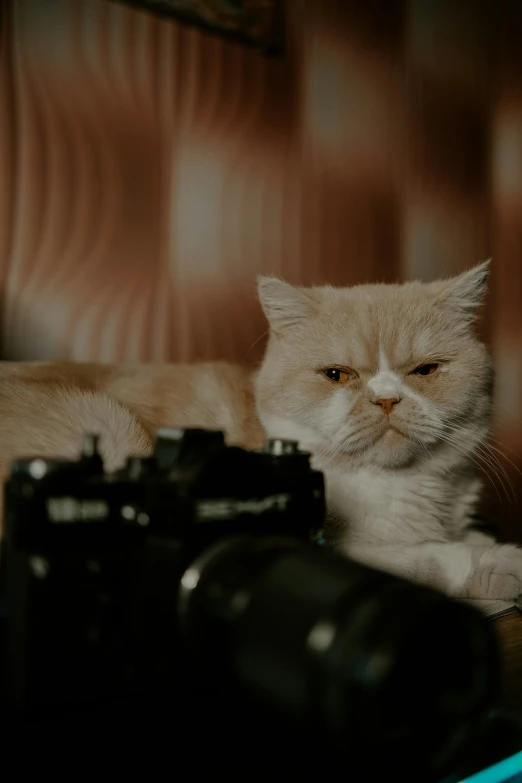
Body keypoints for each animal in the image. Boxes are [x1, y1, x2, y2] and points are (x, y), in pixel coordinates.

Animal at [0, 260, 516, 604]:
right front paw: (502, 564)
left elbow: (467, 538)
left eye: (425, 371)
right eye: (337, 375)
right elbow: (433, 556)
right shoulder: (341, 549)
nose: (386, 399)